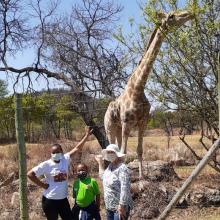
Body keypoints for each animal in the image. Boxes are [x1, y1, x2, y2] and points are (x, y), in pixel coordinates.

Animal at [104, 10, 193, 179]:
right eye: (171, 16)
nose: (188, 14)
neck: (138, 88)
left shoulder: (143, 122)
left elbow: (139, 150)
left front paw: (141, 176)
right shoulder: (127, 123)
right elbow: (125, 152)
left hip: (118, 127)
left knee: (115, 148)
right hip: (110, 127)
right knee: (108, 148)